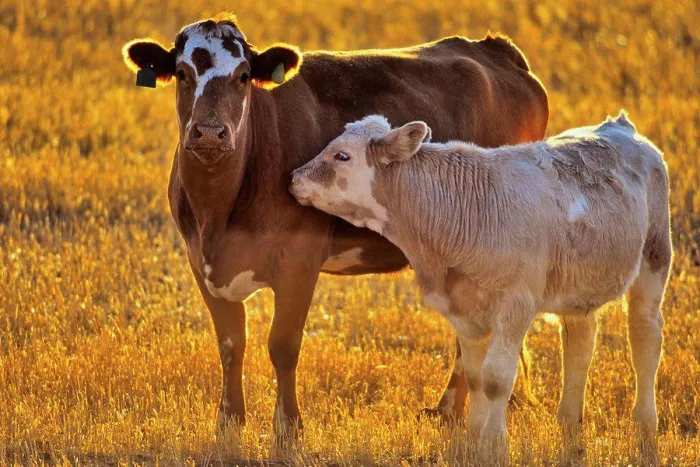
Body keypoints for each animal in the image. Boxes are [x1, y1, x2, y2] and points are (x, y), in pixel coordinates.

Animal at [121, 13, 549, 438]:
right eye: (181, 73)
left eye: (243, 76)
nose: (210, 132)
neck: (218, 212)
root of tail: (492, 47)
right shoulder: (200, 261)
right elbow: (230, 344)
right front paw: (229, 421)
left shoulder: (299, 261)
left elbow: (283, 345)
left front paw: (288, 426)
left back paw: (451, 409)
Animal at [289, 112, 671, 457]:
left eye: (342, 156)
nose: (293, 178)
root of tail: (621, 127)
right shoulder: (461, 308)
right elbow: (473, 376)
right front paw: (474, 438)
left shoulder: (516, 305)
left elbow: (496, 378)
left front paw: (495, 444)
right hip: (578, 290)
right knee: (580, 344)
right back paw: (570, 427)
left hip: (654, 260)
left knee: (645, 339)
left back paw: (645, 428)